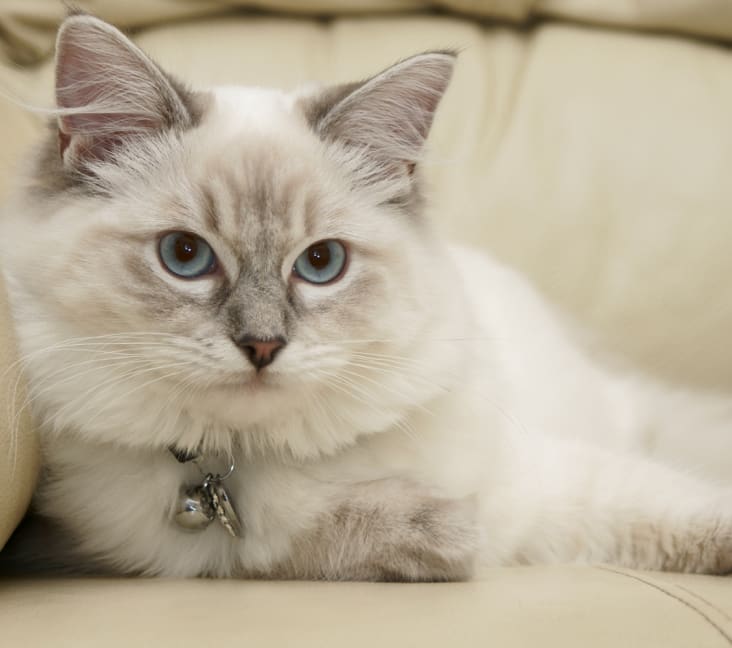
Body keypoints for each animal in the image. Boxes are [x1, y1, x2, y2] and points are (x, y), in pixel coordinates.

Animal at [1, 10, 732, 576]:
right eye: (185, 256)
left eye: (322, 263)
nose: (262, 346)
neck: (238, 466)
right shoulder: (129, 543)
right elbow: (316, 539)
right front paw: (442, 538)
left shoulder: (541, 486)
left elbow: (681, 512)